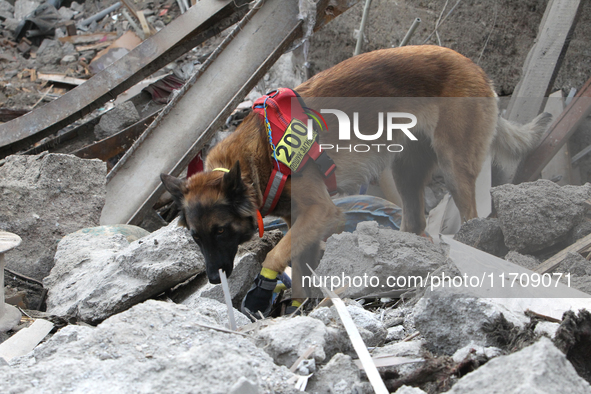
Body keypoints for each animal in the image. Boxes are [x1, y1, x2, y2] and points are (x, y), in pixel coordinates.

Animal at [161, 45, 552, 318]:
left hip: (454, 166)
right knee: (415, 223)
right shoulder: (300, 221)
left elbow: (275, 253)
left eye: (221, 231)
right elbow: (298, 266)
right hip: (406, 173)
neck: (258, 159)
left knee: (470, 214)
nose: (214, 280)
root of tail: (475, 67)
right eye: (195, 238)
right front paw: (295, 310)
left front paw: (262, 289)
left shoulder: (322, 213)